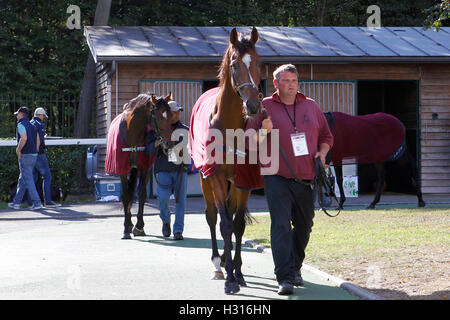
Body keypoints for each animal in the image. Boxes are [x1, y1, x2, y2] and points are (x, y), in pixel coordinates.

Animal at [105, 92, 174, 238]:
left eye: (171, 115)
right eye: (159, 116)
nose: (170, 142)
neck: (132, 133)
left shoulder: (144, 167)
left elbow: (141, 193)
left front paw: (139, 226)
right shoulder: (122, 168)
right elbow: (126, 195)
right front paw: (126, 228)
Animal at [189, 27, 264, 296]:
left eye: (259, 63)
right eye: (234, 64)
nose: (253, 106)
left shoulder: (243, 179)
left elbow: (238, 224)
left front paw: (238, 273)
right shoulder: (218, 177)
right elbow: (225, 225)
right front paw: (230, 279)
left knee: (229, 215)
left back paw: (225, 261)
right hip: (205, 180)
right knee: (212, 217)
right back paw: (217, 264)